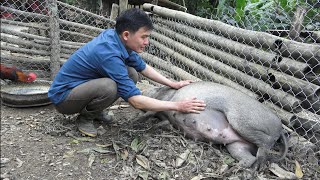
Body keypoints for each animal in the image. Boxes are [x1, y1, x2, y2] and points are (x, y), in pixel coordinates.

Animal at [142, 81, 288, 169]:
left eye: (153, 87)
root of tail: (280, 128)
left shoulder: (164, 100)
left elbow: (151, 111)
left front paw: (140, 118)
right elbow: (163, 121)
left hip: (241, 121)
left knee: (265, 142)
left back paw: (256, 165)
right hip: (237, 145)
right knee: (248, 158)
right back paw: (236, 169)